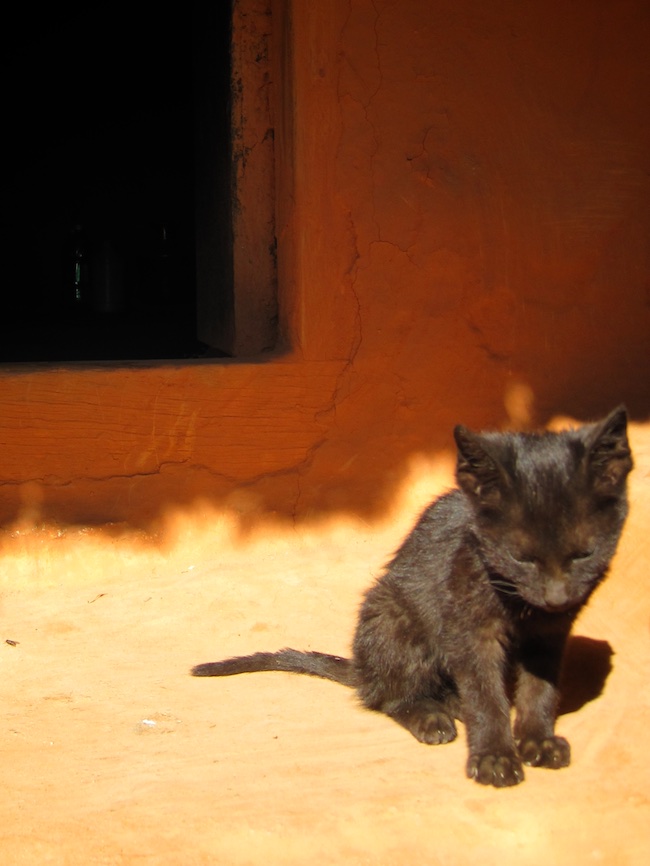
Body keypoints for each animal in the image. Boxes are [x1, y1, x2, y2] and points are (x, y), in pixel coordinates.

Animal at [191, 408, 628, 788]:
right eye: (521, 557)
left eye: (584, 554)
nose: (556, 597)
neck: (519, 604)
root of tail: (364, 667)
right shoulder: (470, 631)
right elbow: (485, 695)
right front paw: (494, 756)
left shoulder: (551, 633)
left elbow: (540, 689)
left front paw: (538, 740)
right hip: (393, 616)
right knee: (389, 696)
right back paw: (430, 717)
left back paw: (452, 703)